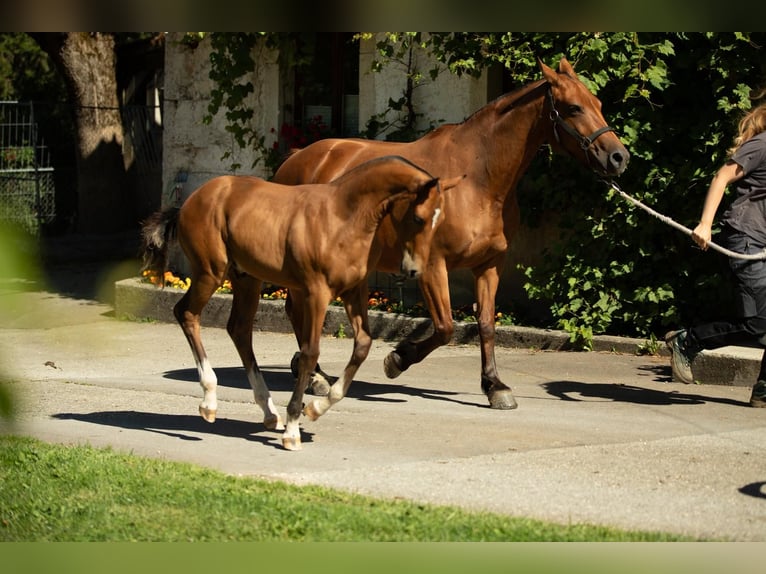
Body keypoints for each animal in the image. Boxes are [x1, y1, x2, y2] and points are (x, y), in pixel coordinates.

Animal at [141, 155, 463, 450]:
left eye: (439, 222)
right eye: (418, 218)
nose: (414, 270)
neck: (343, 218)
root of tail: (189, 201)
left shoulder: (354, 291)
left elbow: (362, 345)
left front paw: (315, 409)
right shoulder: (315, 293)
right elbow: (310, 353)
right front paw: (293, 429)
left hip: (247, 278)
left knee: (239, 330)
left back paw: (269, 412)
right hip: (211, 272)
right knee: (186, 313)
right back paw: (210, 402)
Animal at [272, 57, 630, 411]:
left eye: (597, 103)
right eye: (573, 108)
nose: (618, 157)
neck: (477, 177)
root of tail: (299, 158)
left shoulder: (490, 264)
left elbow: (486, 323)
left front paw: (495, 386)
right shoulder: (433, 266)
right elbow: (445, 327)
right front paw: (398, 358)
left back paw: (314, 373)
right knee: (299, 310)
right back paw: (315, 376)